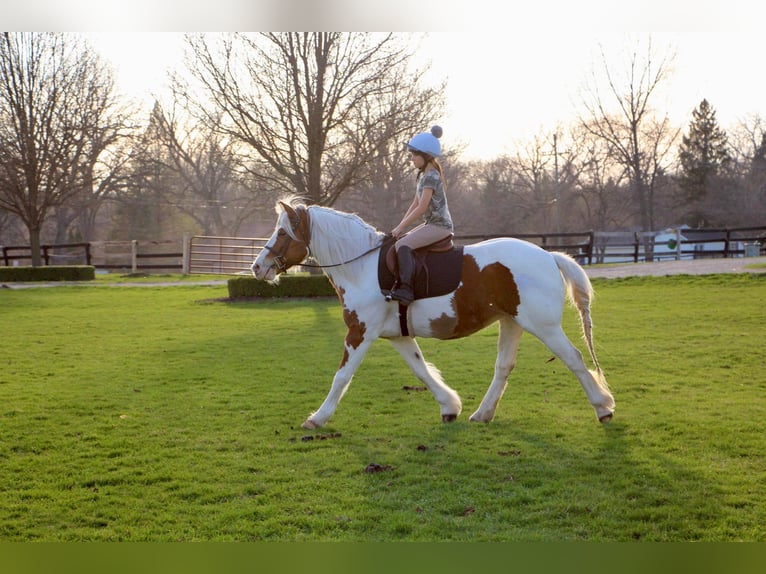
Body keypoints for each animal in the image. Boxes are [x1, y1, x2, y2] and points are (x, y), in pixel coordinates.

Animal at [254, 200, 616, 430]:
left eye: (283, 233)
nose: (258, 267)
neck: (362, 267)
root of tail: (548, 255)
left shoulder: (360, 332)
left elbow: (342, 377)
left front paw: (317, 418)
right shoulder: (397, 335)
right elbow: (422, 370)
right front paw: (450, 406)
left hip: (544, 326)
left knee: (574, 358)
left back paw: (603, 407)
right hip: (512, 322)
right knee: (504, 367)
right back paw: (482, 415)